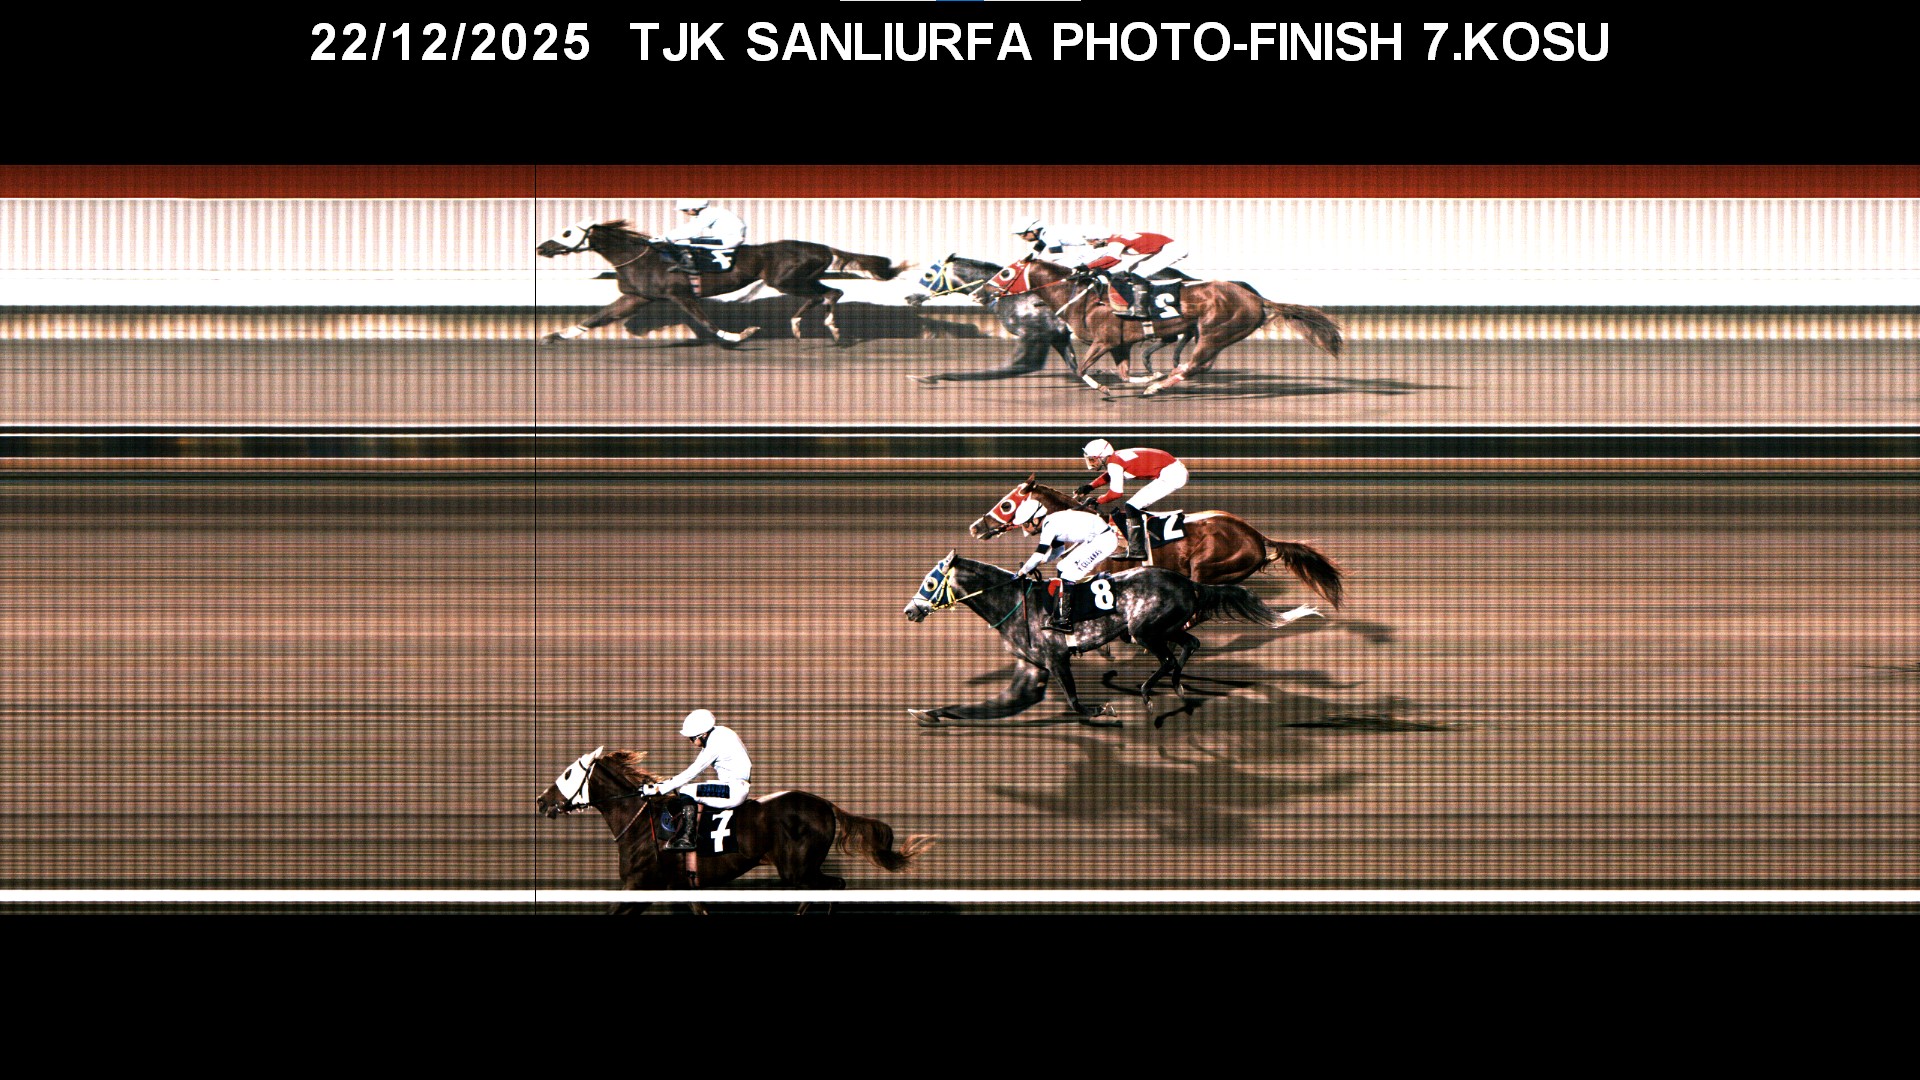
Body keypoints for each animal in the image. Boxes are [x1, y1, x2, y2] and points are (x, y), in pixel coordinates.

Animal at [536, 219, 907, 347]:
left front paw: (739, 335)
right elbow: (596, 318)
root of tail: (824, 248)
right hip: (796, 280)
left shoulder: (679, 294)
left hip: (786, 279)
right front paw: (553, 335)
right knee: (826, 294)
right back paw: (802, 326)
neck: (641, 257)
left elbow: (704, 320)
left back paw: (828, 329)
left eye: (567, 232)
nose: (543, 247)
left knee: (833, 292)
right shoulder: (637, 297)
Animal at [536, 747, 935, 912]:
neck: (640, 823)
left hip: (797, 871)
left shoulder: (640, 883)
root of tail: (826, 806)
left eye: (568, 773)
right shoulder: (682, 888)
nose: (540, 800)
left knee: (832, 887)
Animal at [902, 254, 1185, 386]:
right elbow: (1074, 366)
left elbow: (1012, 368)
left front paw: (931, 377)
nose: (908, 296)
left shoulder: (1034, 337)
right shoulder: (1057, 337)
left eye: (928, 275)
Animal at [902, 551, 1318, 726]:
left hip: (1144, 630)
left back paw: (1150, 692)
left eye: (930, 583)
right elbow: (984, 707)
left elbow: (1074, 703)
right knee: (1189, 646)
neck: (1012, 602)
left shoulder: (1056, 659)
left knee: (1171, 655)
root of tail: (1190, 582)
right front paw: (927, 712)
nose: (909, 610)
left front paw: (1102, 709)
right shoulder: (1031, 669)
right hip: (1163, 628)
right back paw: (1177, 688)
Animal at [981, 258, 1343, 396]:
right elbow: (1124, 371)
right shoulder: (1120, 344)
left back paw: (1158, 387)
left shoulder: (1104, 341)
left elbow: (1082, 368)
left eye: (1005, 272)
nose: (984, 291)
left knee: (1194, 364)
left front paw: (1106, 388)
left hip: (1213, 330)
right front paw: (1145, 376)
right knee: (1198, 365)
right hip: (1219, 335)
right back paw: (1159, 380)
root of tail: (1257, 298)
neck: (1082, 298)